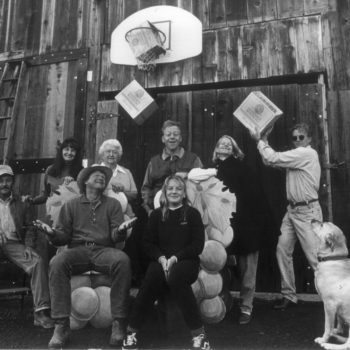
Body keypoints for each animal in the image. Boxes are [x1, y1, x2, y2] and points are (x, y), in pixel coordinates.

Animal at [312, 220, 350, 348]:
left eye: (322, 224)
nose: (312, 220)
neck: (334, 258)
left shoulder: (329, 304)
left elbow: (327, 326)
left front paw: (324, 339)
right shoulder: (336, 306)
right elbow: (339, 319)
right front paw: (338, 330)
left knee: (347, 345)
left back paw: (329, 345)